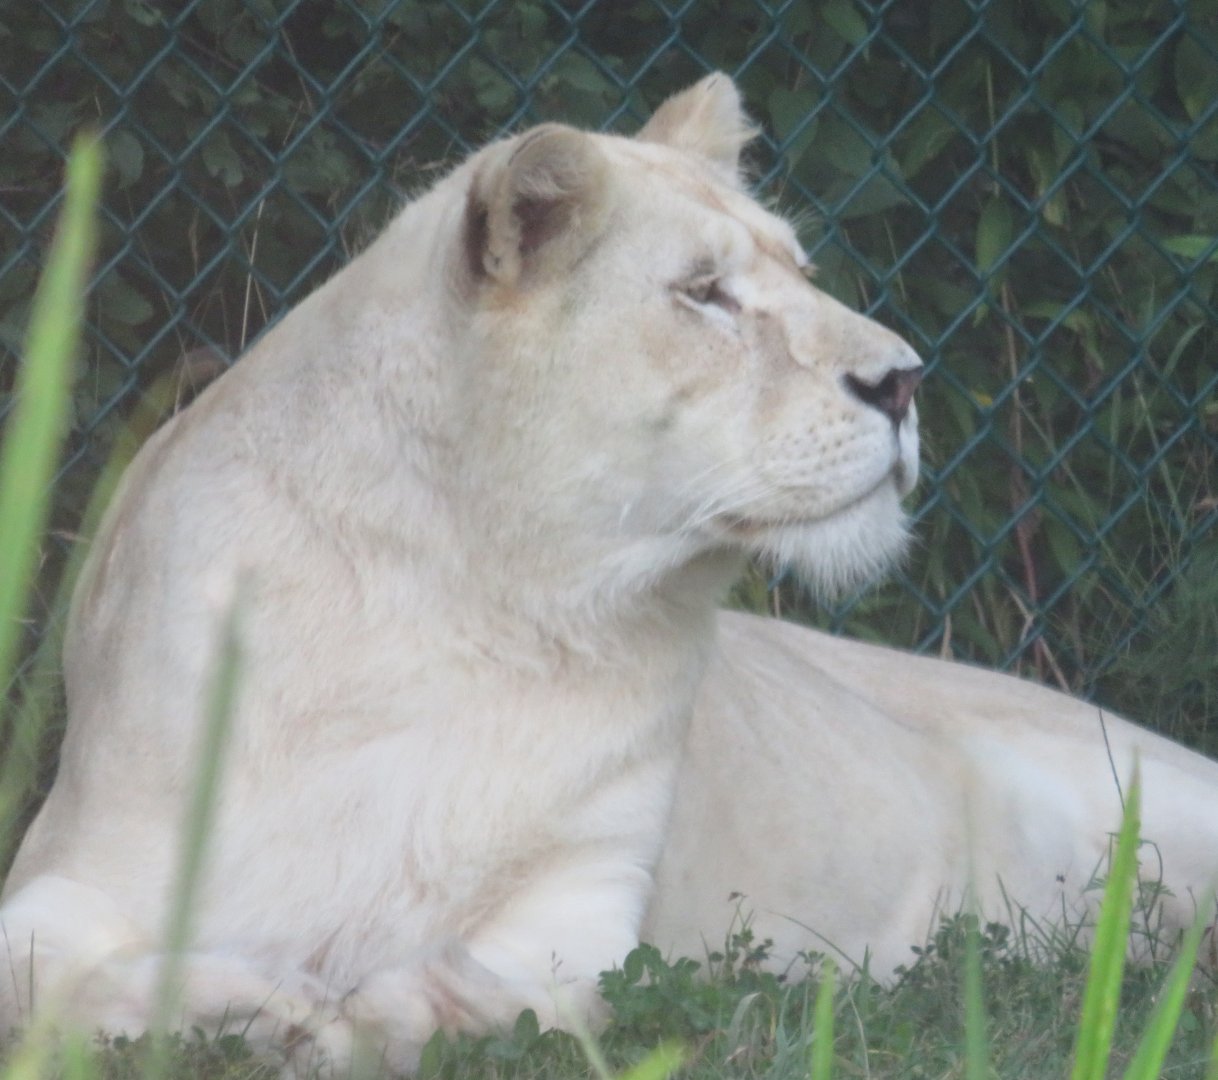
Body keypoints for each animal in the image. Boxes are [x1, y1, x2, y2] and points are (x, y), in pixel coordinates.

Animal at [2, 72, 1216, 1072]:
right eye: (705, 292)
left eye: (801, 272)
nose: (907, 381)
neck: (475, 604)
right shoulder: (81, 857)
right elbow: (53, 975)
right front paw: (255, 1006)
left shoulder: (584, 907)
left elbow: (517, 994)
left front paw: (378, 1012)